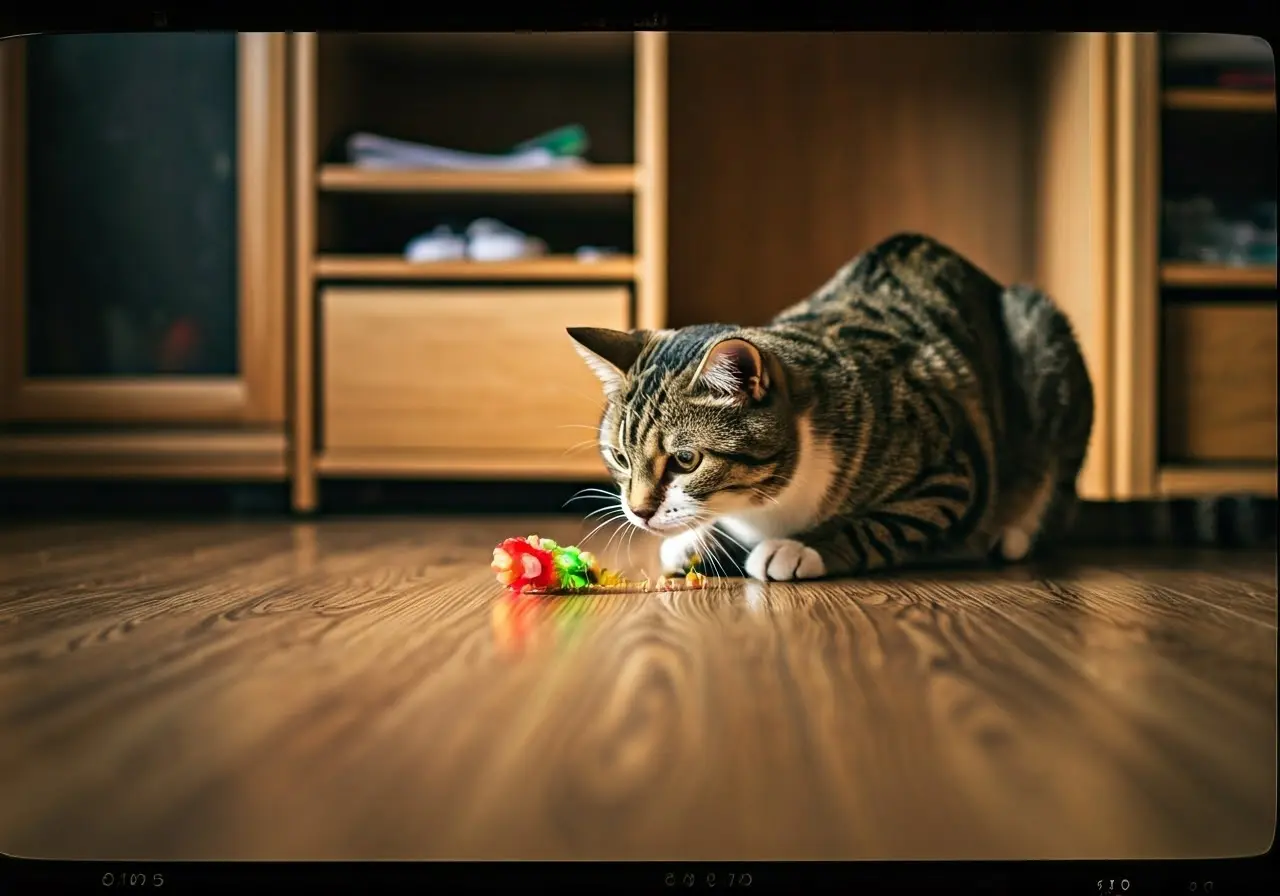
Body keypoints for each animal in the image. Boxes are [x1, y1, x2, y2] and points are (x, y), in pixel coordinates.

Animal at [573, 230, 1100, 581]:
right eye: (620, 457)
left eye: (686, 460)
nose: (639, 513)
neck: (765, 506)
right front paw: (696, 540)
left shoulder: (949, 473)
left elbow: (880, 526)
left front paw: (800, 548)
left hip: (1041, 338)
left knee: (1057, 487)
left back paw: (1015, 530)